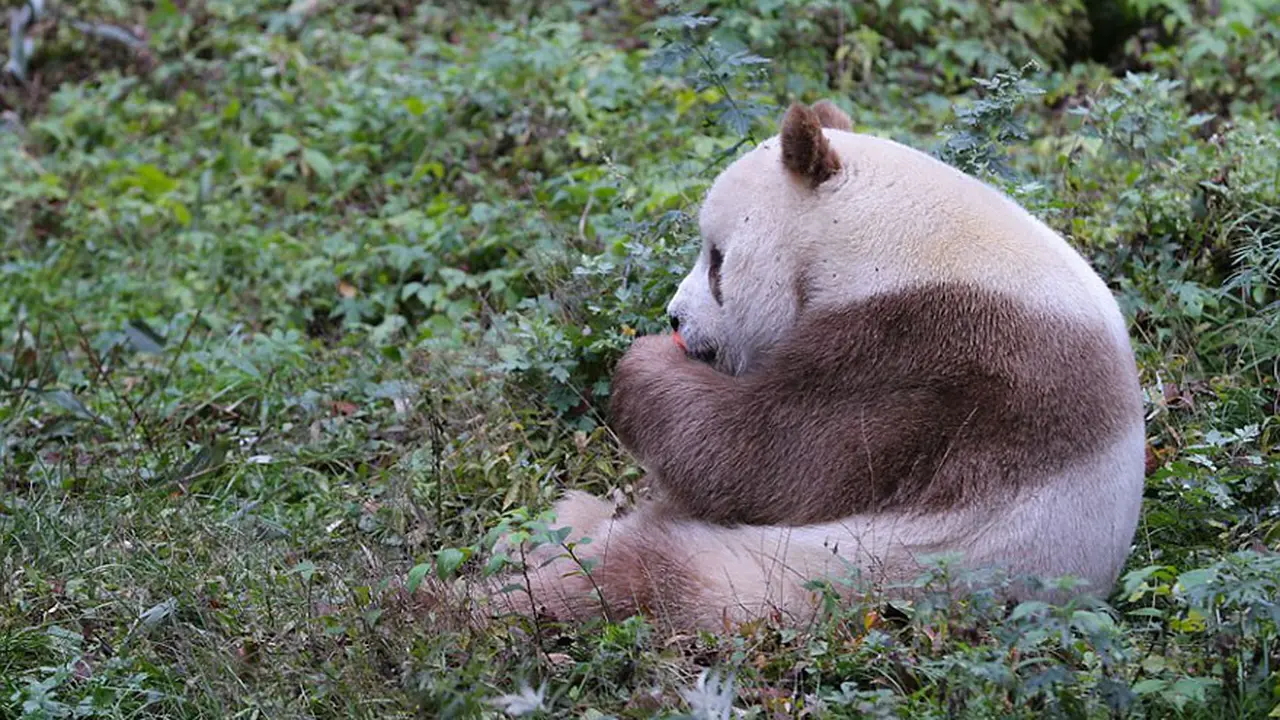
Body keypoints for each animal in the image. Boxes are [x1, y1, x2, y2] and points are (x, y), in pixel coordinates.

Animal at [488, 100, 1147, 631]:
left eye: (717, 260)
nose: (675, 317)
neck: (890, 235)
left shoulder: (930, 348)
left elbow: (767, 458)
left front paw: (641, 365)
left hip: (833, 573)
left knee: (640, 581)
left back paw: (496, 600)